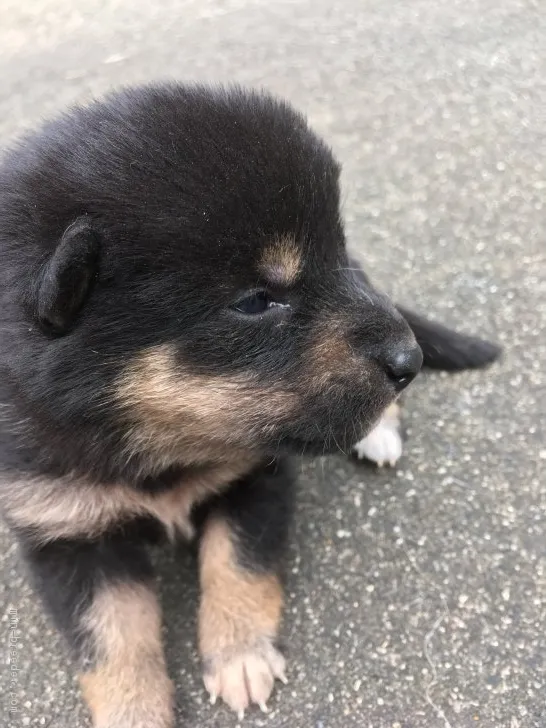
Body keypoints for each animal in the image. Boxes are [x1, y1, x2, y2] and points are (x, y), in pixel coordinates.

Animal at [0, 82, 500, 724]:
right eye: (257, 301)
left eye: (331, 254)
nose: (408, 361)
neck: (155, 445)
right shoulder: (65, 531)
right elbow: (111, 638)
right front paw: (135, 709)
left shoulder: (258, 475)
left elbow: (237, 562)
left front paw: (239, 653)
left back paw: (379, 430)